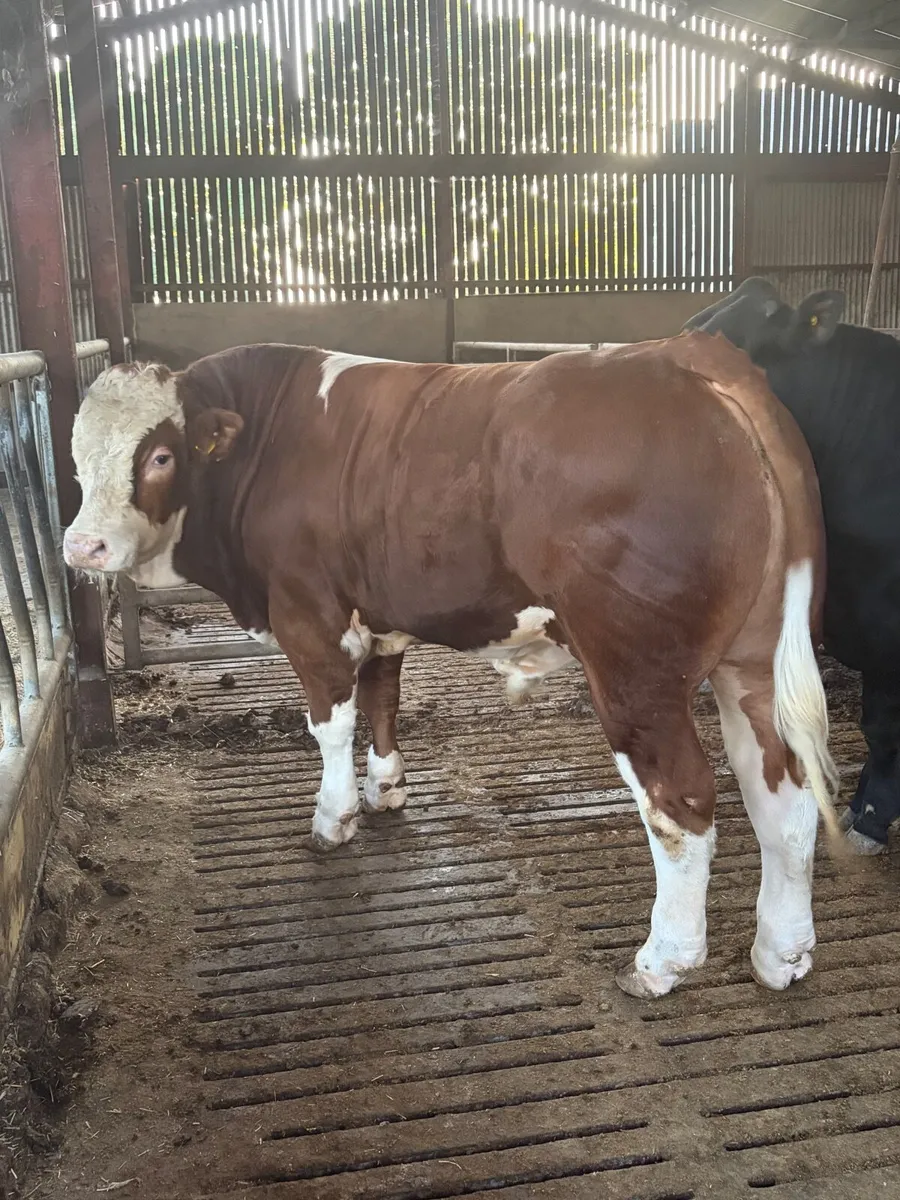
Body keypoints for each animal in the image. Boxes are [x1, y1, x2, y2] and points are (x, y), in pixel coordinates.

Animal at [63, 335, 840, 998]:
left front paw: (334, 817)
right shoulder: (378, 614)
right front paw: (386, 789)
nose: (82, 545)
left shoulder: (308, 615)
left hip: (636, 674)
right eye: (74, 456)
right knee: (784, 793)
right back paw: (782, 953)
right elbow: (382, 699)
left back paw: (662, 961)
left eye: (160, 456)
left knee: (683, 805)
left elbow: (331, 723)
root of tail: (691, 356)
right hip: (754, 665)